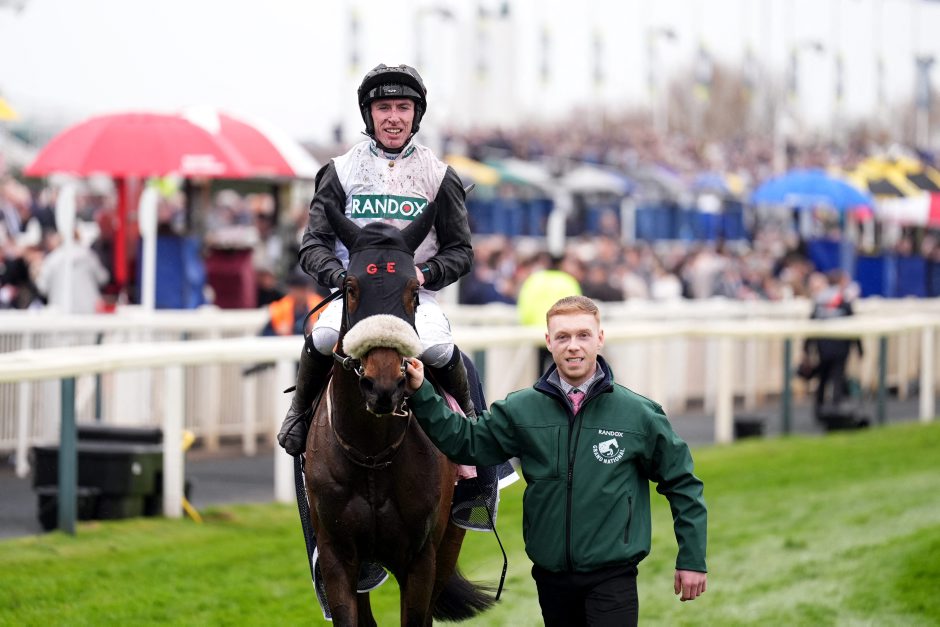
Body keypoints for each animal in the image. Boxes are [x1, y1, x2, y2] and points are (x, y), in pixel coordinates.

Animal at [303, 202, 494, 626]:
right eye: (350, 287)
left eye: (413, 290)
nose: (384, 385)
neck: (372, 453)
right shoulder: (337, 553)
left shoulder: (421, 558)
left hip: (450, 539)